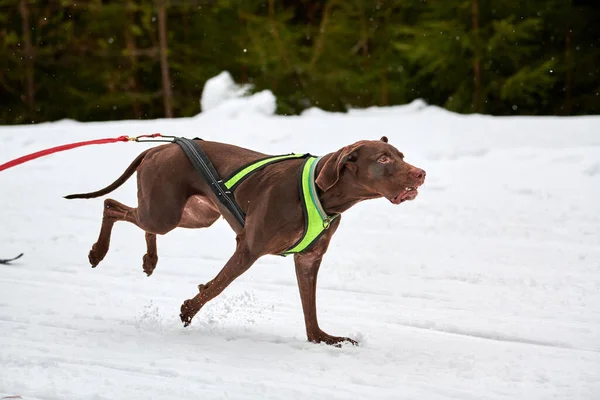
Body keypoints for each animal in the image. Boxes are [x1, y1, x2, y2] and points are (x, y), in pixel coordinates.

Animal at [65, 136, 424, 346]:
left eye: (400, 155)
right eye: (383, 159)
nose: (420, 173)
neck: (323, 194)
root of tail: (159, 146)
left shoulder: (308, 259)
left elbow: (310, 307)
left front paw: (321, 338)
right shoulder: (249, 247)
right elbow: (217, 286)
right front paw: (188, 310)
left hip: (193, 214)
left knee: (133, 215)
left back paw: (149, 260)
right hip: (165, 210)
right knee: (111, 205)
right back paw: (98, 252)